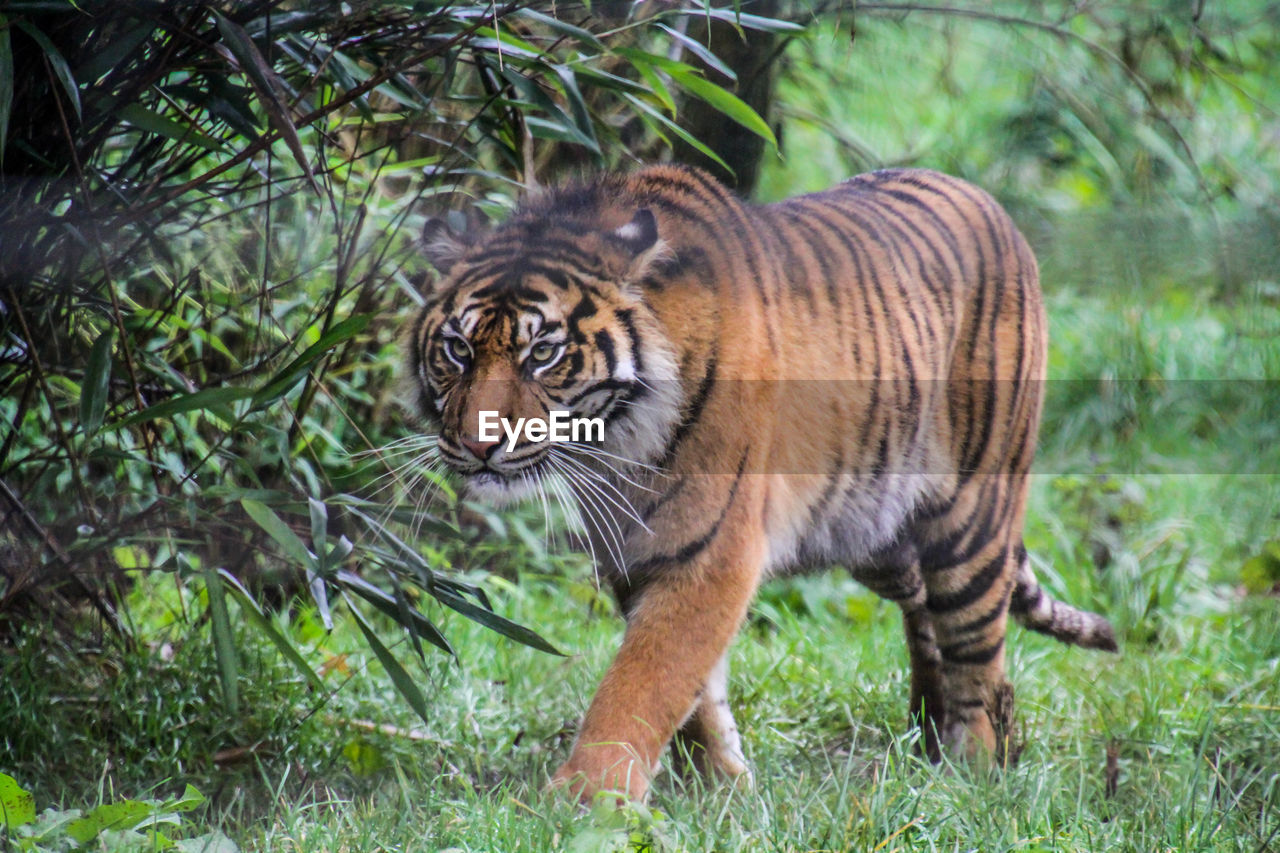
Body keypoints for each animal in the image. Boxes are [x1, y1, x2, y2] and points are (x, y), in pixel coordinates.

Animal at [404, 162, 1116, 799]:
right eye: (458, 350)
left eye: (543, 353)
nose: (479, 445)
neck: (613, 443)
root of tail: (994, 206)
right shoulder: (637, 550)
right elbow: (691, 689)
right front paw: (722, 787)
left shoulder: (711, 549)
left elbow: (644, 680)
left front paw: (585, 801)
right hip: (876, 534)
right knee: (928, 617)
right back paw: (928, 738)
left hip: (971, 515)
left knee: (978, 649)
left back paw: (971, 770)